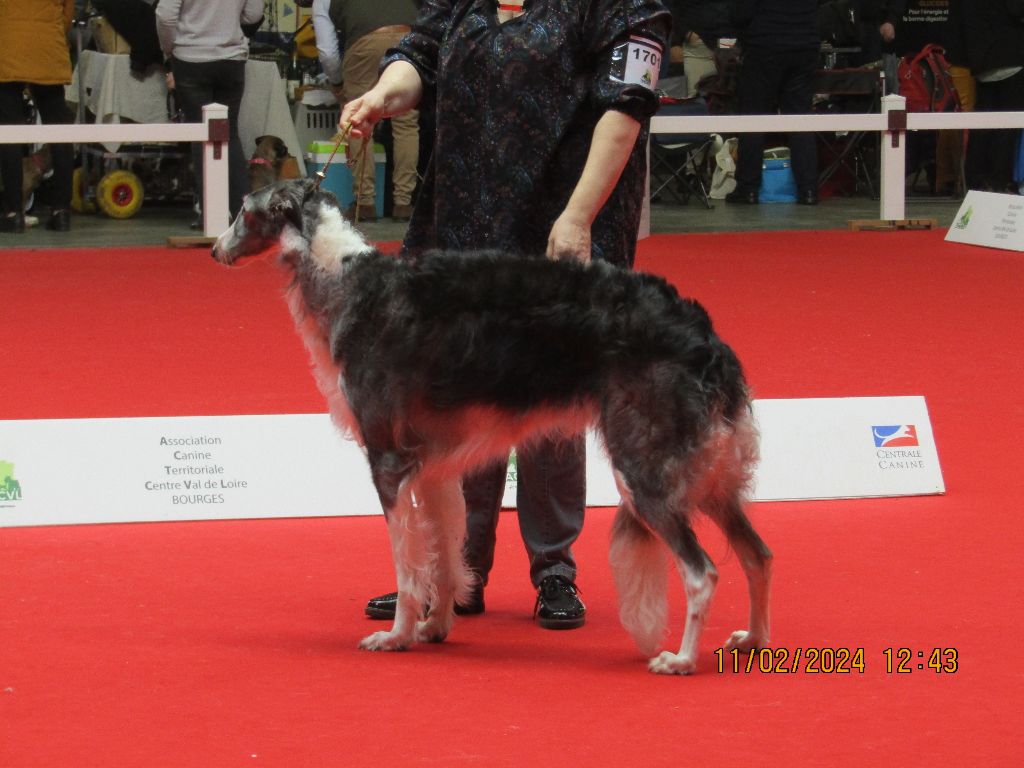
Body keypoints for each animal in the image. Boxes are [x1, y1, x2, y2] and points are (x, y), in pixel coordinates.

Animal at [211, 179, 770, 671]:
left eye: (243, 210)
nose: (215, 250)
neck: (347, 281)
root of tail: (706, 337)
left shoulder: (388, 461)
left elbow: (408, 566)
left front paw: (397, 635)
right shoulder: (433, 469)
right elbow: (442, 554)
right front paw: (435, 626)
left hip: (646, 472)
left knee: (703, 572)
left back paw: (681, 659)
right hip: (710, 477)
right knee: (758, 555)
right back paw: (754, 642)